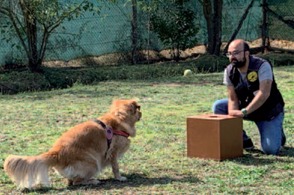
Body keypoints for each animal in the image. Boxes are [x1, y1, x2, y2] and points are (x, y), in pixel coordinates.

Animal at [3, 99, 141, 189]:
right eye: (138, 109)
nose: (141, 113)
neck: (117, 120)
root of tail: (56, 153)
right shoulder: (113, 152)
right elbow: (115, 167)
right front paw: (119, 177)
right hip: (93, 163)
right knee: (77, 182)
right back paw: (93, 181)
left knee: (71, 180)